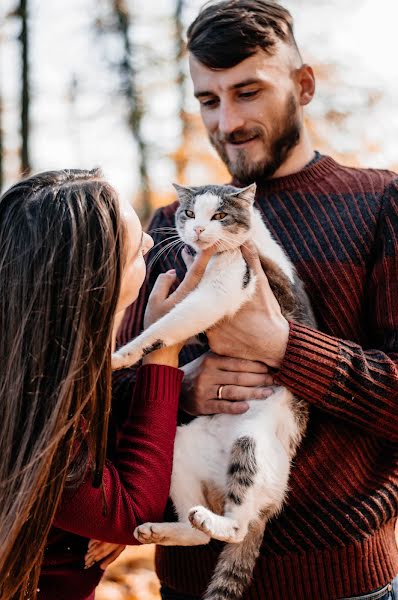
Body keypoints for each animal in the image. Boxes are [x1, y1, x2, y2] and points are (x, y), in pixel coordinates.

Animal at [112, 183, 318, 600]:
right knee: (199, 535)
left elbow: (168, 323)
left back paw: (219, 521)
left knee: (237, 526)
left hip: (252, 446)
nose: (198, 231)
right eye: (190, 213)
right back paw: (168, 527)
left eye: (220, 215)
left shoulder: (224, 289)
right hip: (180, 449)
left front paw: (123, 354)